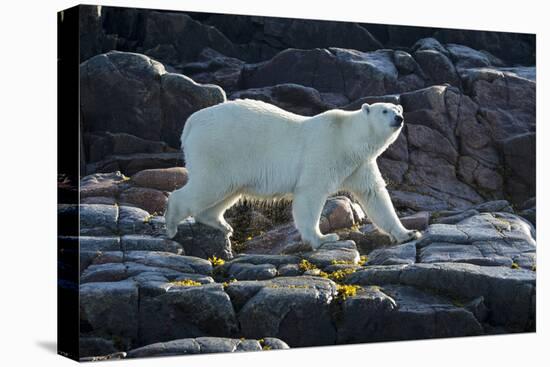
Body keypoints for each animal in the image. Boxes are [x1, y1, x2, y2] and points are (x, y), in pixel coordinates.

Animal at [164, 99, 422, 249]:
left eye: (397, 109)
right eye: (384, 111)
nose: (398, 118)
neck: (347, 138)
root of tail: (190, 123)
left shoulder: (359, 164)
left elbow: (375, 195)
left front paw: (408, 233)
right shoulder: (325, 151)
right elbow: (310, 193)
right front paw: (323, 238)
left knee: (228, 191)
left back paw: (220, 224)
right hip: (219, 149)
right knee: (208, 185)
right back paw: (172, 224)